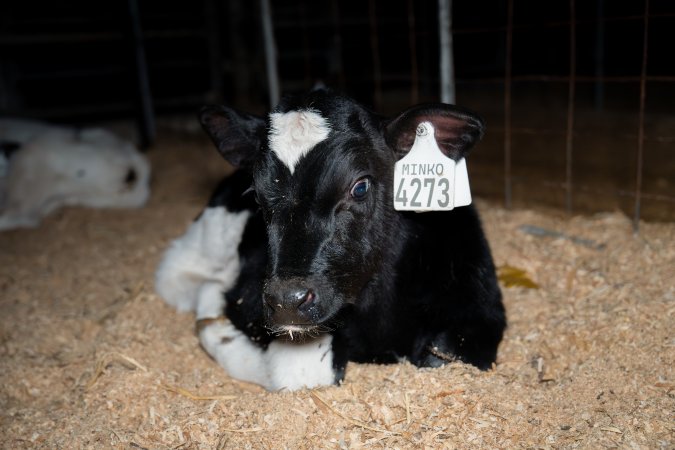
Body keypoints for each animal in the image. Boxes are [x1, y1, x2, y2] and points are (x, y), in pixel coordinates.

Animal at [155, 89, 505, 391]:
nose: (287, 301)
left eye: (360, 187)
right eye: (255, 194)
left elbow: (443, 356)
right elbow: (297, 370)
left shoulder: (478, 310)